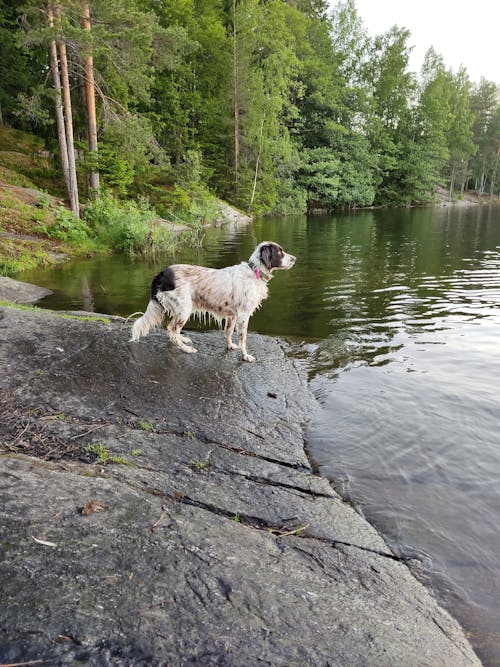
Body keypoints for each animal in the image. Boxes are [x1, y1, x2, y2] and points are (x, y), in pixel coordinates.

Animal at [131, 241, 296, 362]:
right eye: (280, 252)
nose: (294, 258)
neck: (254, 271)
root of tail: (162, 273)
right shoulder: (243, 316)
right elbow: (243, 339)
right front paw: (245, 356)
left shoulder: (232, 316)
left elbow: (228, 333)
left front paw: (230, 346)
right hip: (184, 309)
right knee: (172, 329)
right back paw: (186, 349)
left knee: (173, 331)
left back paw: (183, 340)